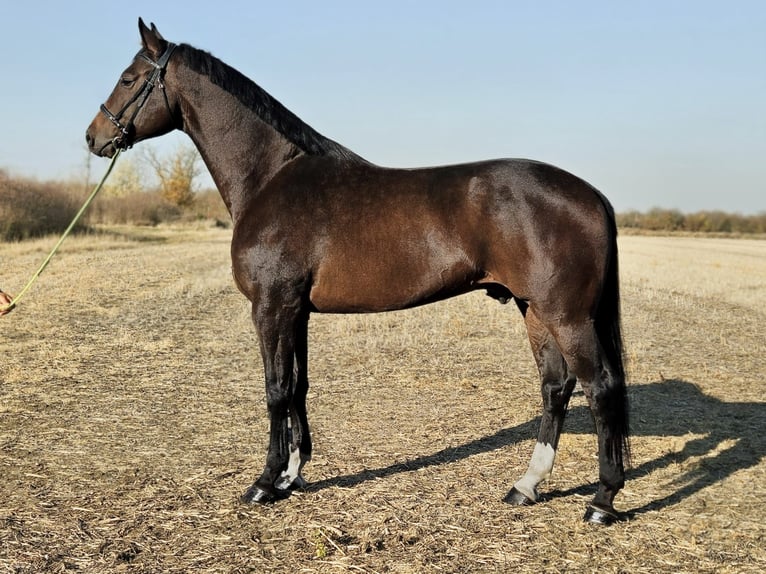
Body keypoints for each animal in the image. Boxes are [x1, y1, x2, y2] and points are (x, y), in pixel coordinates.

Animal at [86, 19, 630, 525]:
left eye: (129, 78)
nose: (94, 136)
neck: (272, 178)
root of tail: (592, 194)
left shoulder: (271, 307)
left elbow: (275, 389)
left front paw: (264, 482)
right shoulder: (296, 312)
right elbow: (298, 386)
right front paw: (293, 475)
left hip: (566, 316)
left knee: (600, 387)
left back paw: (602, 500)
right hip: (533, 309)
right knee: (556, 387)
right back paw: (526, 485)